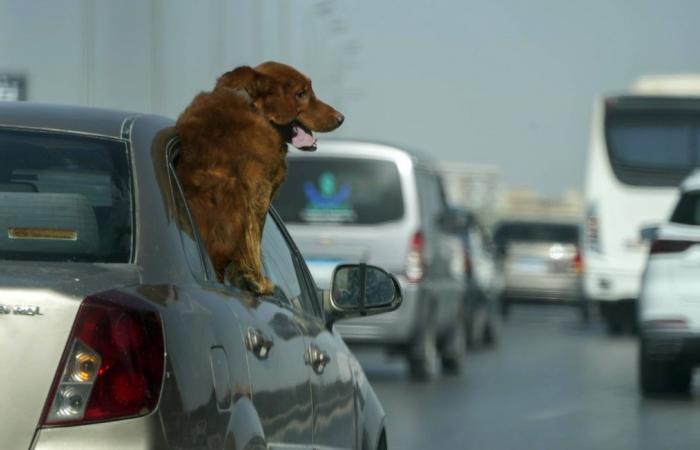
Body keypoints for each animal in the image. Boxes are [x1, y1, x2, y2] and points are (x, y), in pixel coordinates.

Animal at [175, 62, 344, 296]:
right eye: (301, 93)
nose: (341, 118)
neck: (254, 108)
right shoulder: (258, 194)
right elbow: (253, 242)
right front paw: (260, 282)